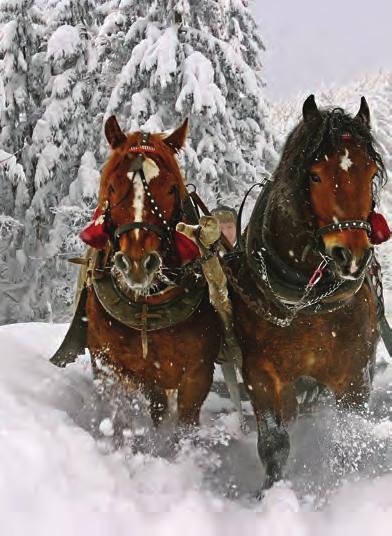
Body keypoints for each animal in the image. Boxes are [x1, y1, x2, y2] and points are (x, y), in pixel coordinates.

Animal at [80, 117, 220, 428]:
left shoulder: (198, 373)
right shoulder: (111, 365)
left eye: (170, 189)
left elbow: (186, 424)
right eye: (112, 187)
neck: (148, 306)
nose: (136, 263)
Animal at [231, 97, 388, 494]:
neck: (308, 302)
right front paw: (269, 493)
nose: (352, 255)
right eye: (315, 175)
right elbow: (274, 443)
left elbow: (348, 437)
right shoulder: (261, 375)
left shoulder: (354, 378)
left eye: (369, 173)